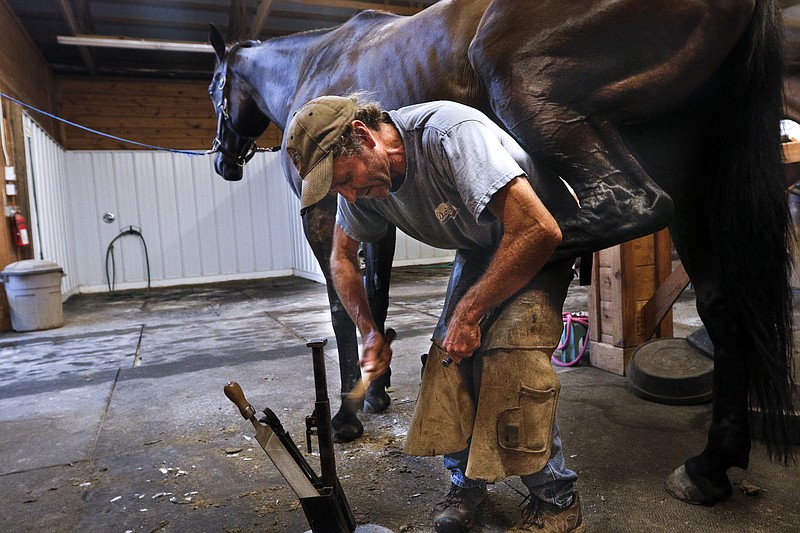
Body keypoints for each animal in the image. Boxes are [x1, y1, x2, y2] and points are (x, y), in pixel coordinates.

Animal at [209, 0, 796, 508]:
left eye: (215, 87)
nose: (223, 163)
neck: (315, 62)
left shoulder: (322, 210)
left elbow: (338, 307)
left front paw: (347, 416)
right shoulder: (370, 218)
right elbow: (372, 297)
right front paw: (375, 389)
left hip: (530, 89)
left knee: (627, 206)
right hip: (683, 152)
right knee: (722, 307)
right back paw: (709, 466)